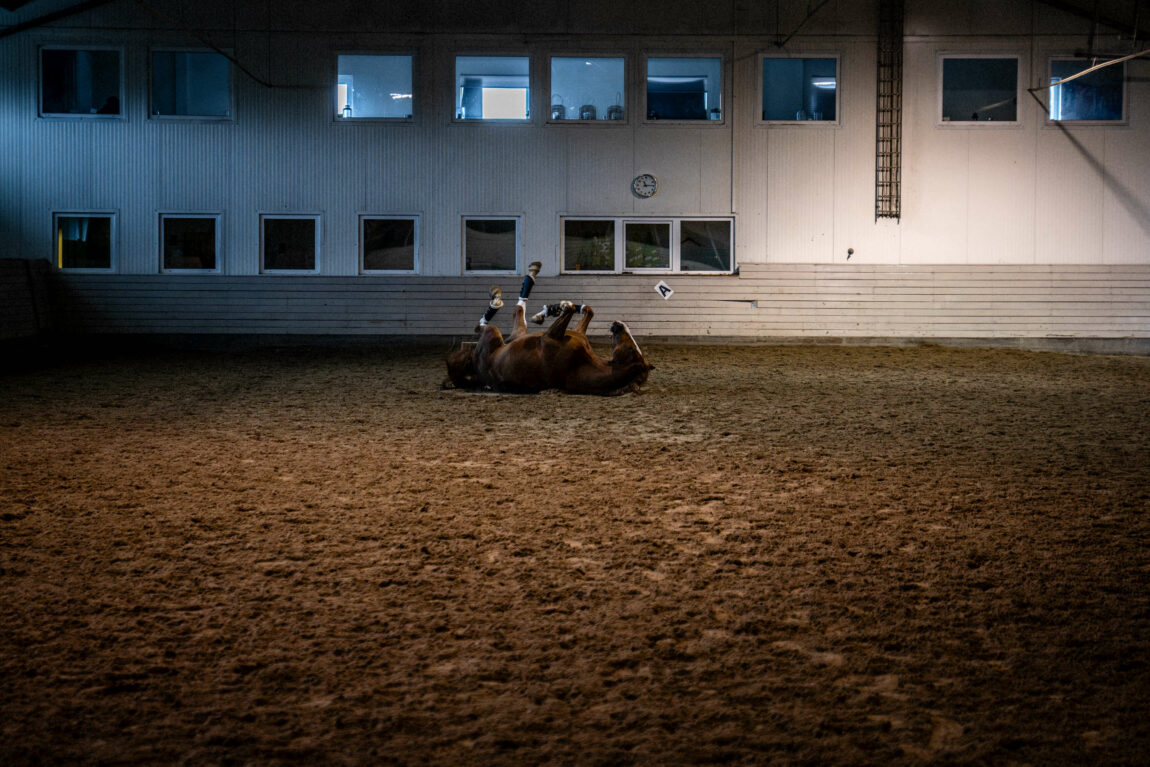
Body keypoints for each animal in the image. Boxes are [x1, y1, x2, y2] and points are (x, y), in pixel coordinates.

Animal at [443, 296, 653, 400]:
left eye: (632, 350)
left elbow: (570, 309)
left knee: (493, 323)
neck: (579, 365)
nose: (618, 324)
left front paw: (557, 307)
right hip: (513, 336)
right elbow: (588, 311)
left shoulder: (550, 336)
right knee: (517, 317)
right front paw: (561, 307)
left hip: (493, 334)